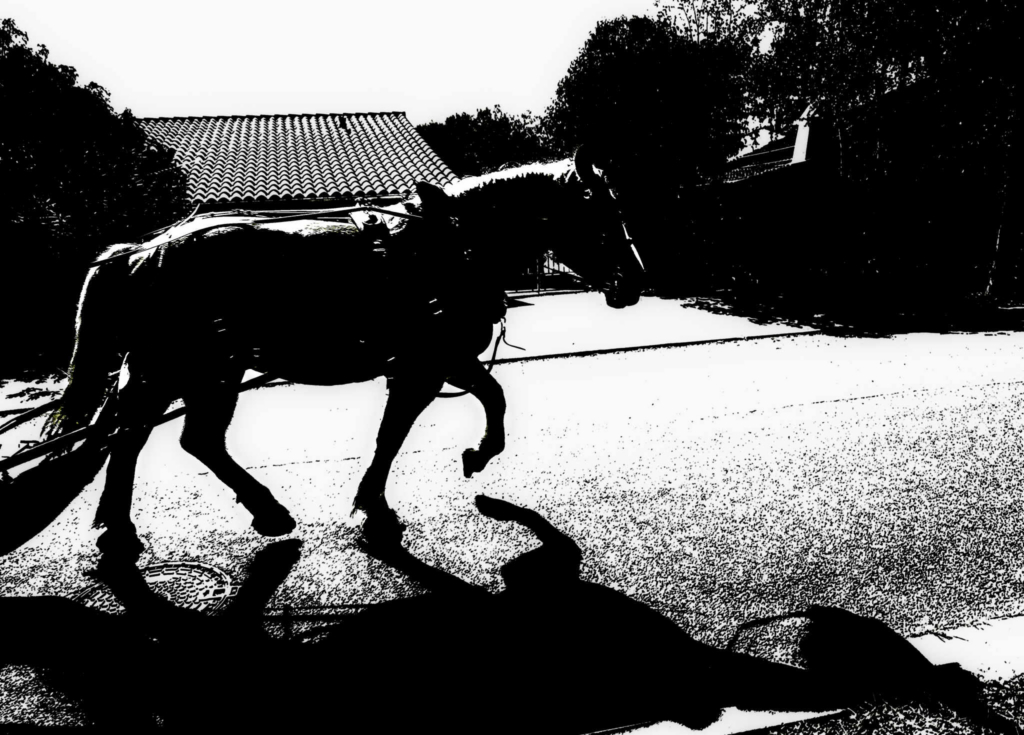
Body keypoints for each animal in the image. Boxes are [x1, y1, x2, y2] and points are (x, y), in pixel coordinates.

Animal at [41, 147, 645, 561]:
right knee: (161, 437)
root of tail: (142, 251)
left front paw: (464, 461)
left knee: (150, 436)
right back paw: (235, 514)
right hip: (195, 369)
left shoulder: (440, 362)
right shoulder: (428, 366)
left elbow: (477, 401)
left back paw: (130, 524)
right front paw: (384, 501)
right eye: (601, 214)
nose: (635, 281)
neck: (454, 244)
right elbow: (407, 429)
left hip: (186, 370)